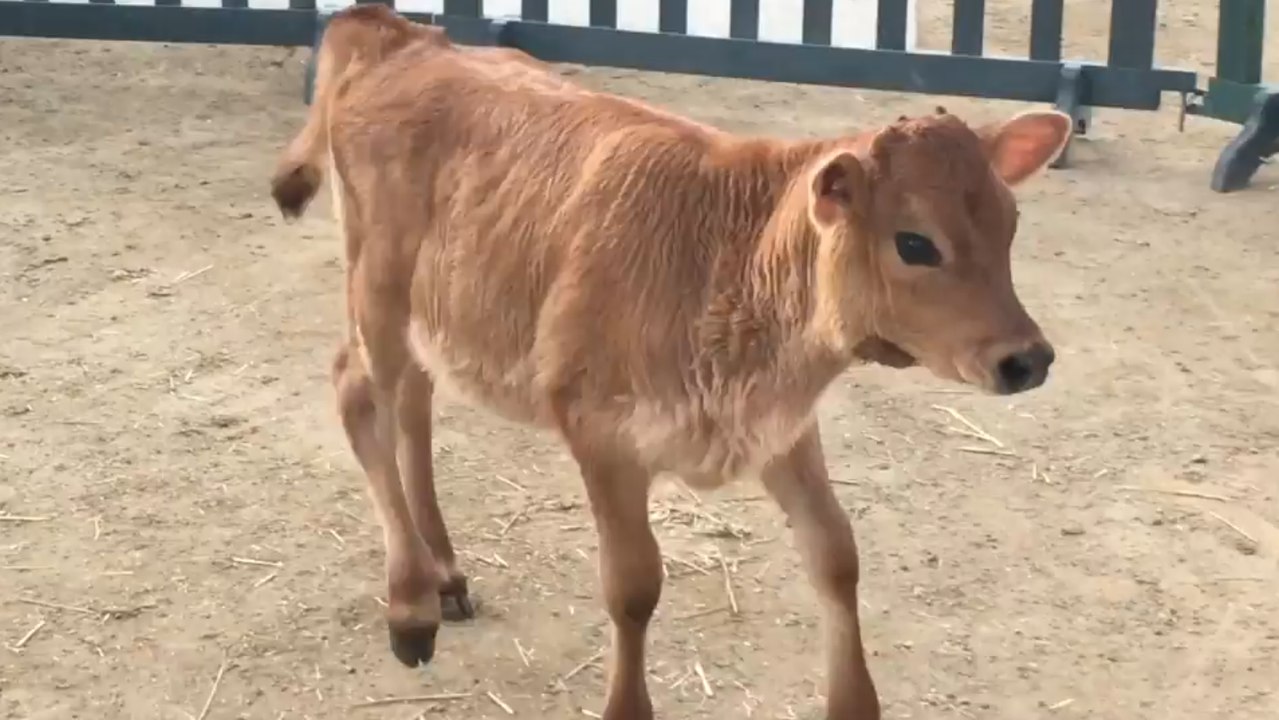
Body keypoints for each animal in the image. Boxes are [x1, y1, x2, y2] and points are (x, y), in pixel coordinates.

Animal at [269, 7, 1071, 719]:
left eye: (1010, 222)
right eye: (914, 242)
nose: (1027, 359)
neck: (732, 260)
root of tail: (404, 35)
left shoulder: (780, 429)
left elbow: (835, 555)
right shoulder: (601, 432)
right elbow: (633, 586)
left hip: (431, 312)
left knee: (413, 401)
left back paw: (443, 570)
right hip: (377, 290)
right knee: (359, 393)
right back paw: (410, 603)